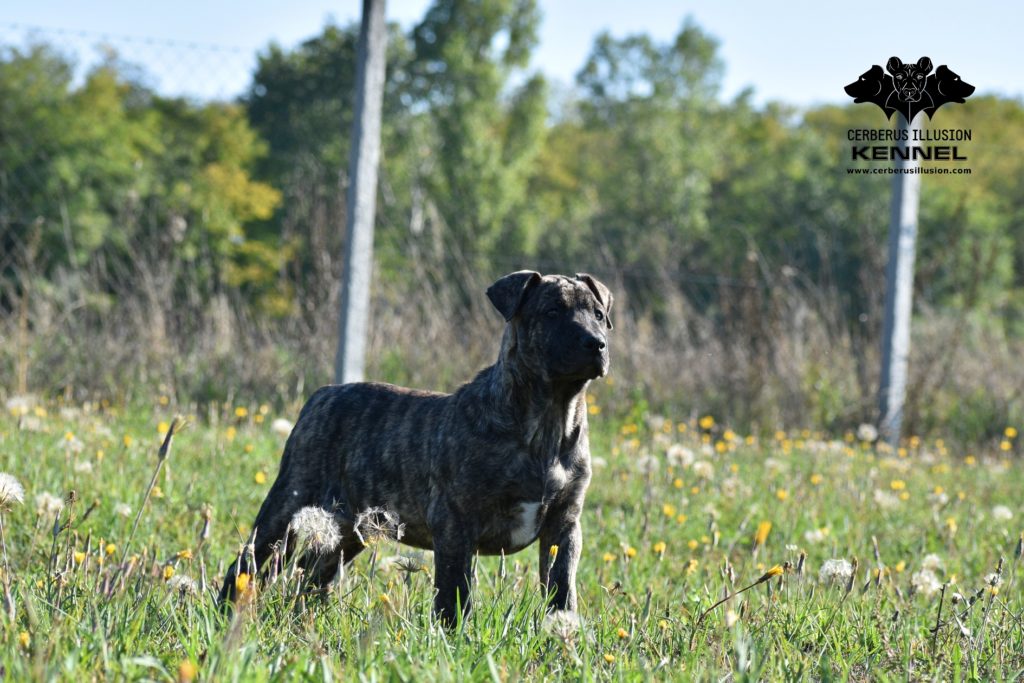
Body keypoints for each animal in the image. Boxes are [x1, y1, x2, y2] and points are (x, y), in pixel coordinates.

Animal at [220, 270, 610, 626]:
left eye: (599, 314)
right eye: (552, 312)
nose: (596, 343)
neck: (548, 419)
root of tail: (322, 394)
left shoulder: (564, 526)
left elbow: (562, 586)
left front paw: (562, 633)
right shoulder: (456, 524)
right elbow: (455, 592)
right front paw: (455, 637)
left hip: (347, 529)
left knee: (312, 574)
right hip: (287, 507)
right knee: (248, 562)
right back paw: (228, 613)